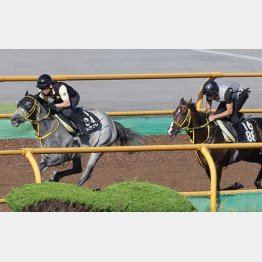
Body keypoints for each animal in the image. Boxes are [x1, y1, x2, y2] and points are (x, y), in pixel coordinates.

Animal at [10, 92, 145, 186]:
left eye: (28, 103)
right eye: (18, 104)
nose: (14, 119)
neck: (49, 129)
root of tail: (111, 121)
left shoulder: (59, 158)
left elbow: (41, 166)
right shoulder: (46, 155)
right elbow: (41, 166)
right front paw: (49, 178)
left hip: (99, 149)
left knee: (87, 173)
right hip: (77, 152)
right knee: (77, 168)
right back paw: (56, 176)